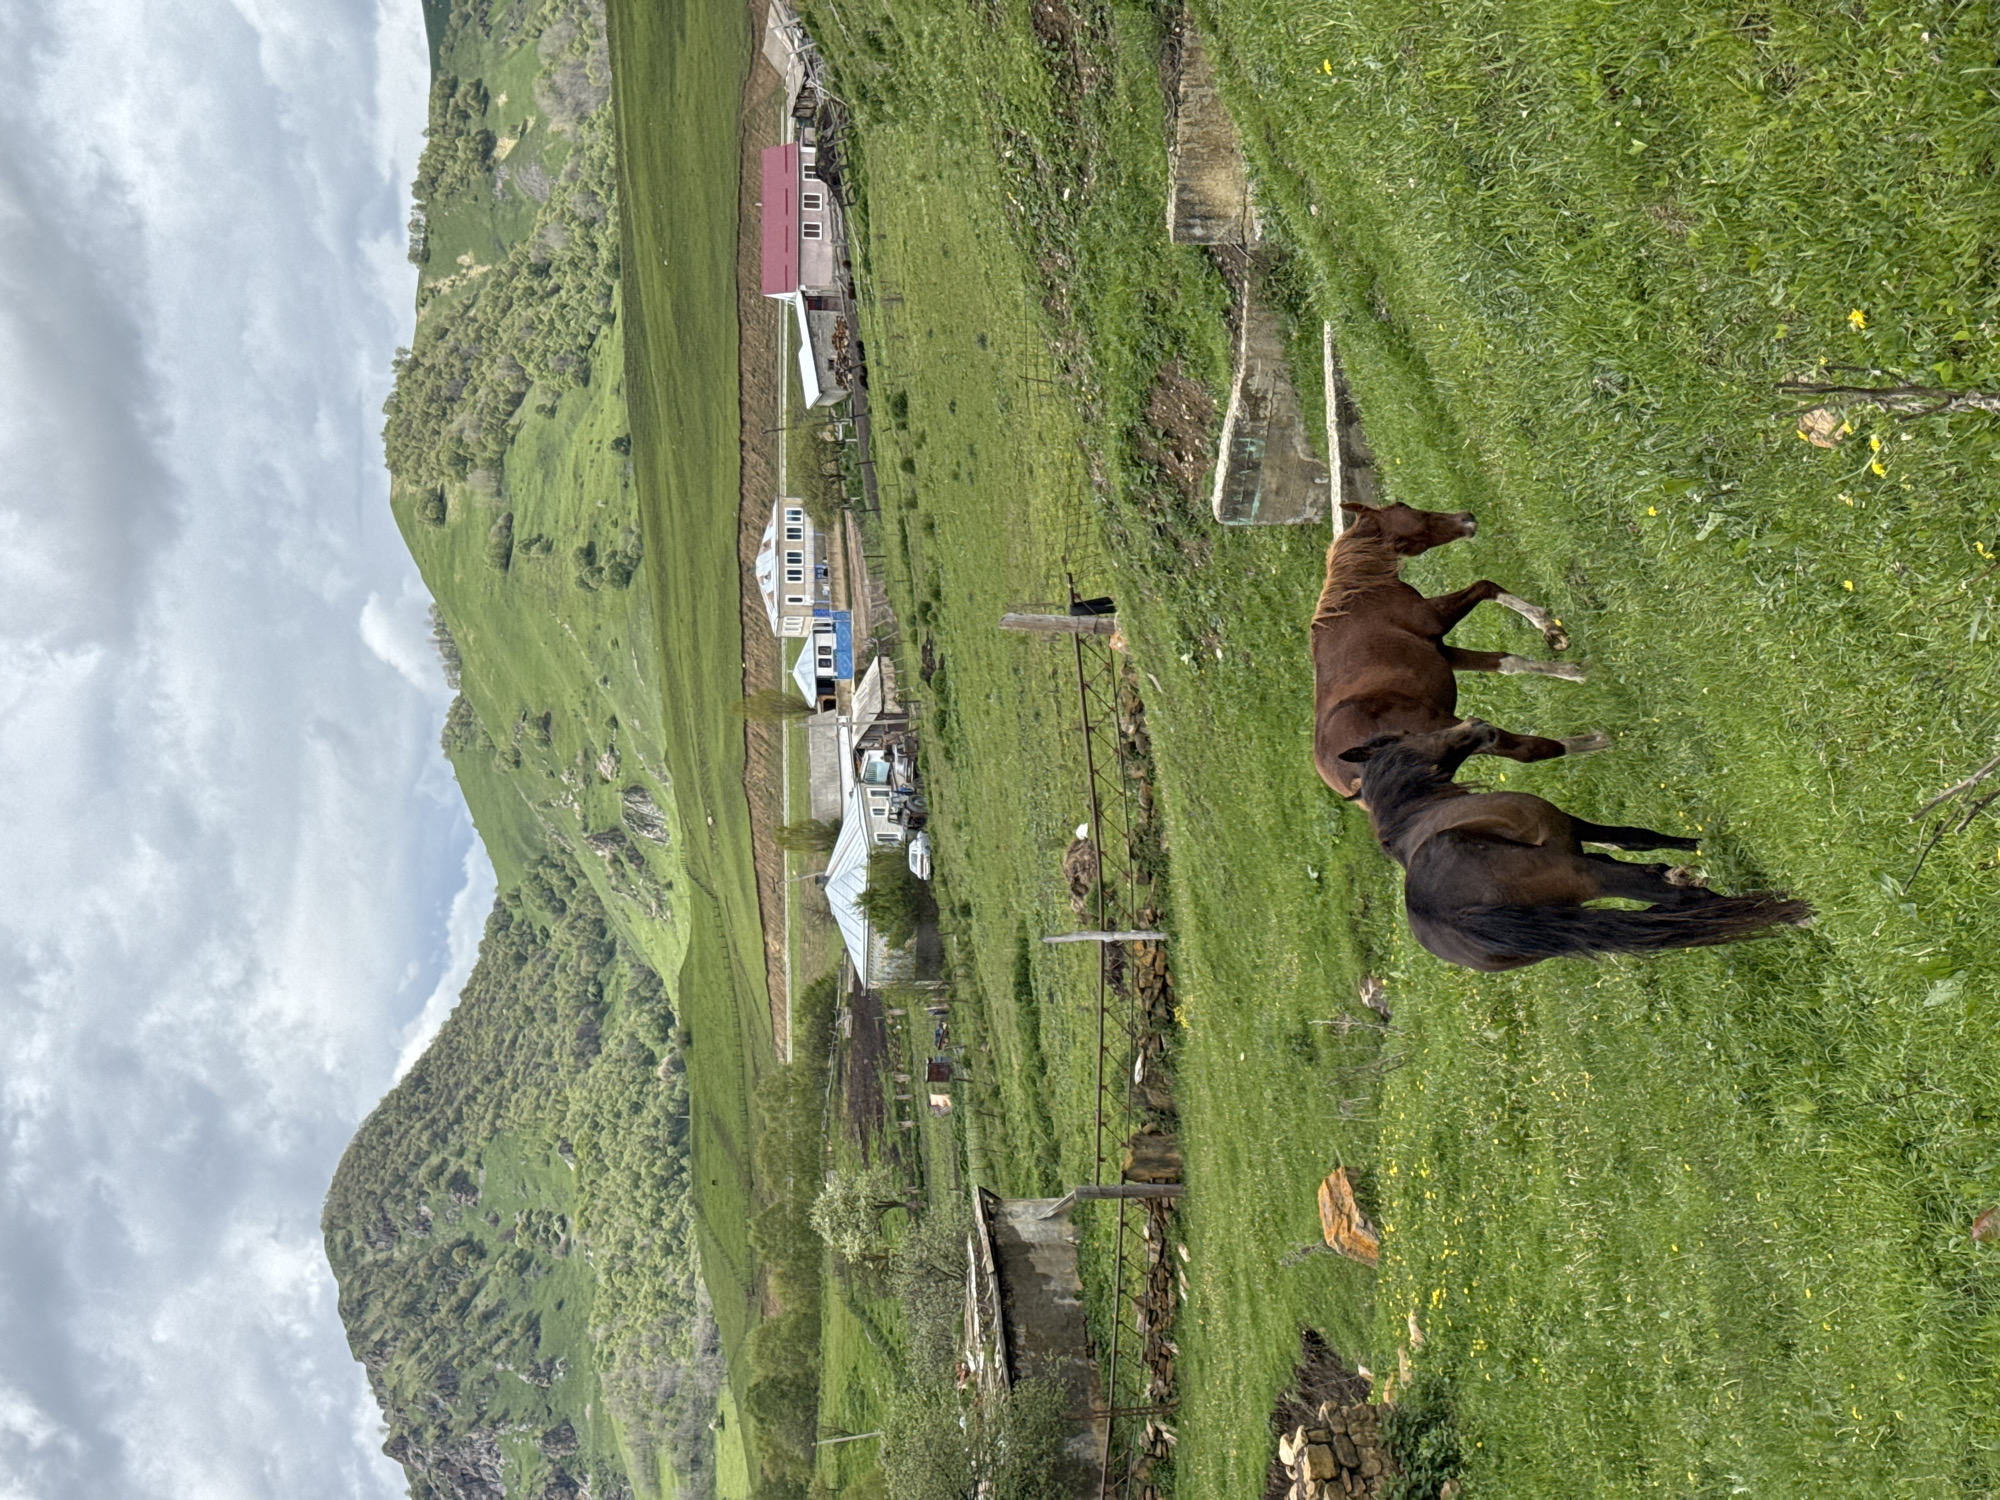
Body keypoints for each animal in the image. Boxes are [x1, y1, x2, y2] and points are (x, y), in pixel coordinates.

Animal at [1312, 501, 1599, 803]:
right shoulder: (1436, 618)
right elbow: (1486, 586)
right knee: (1524, 749)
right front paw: (1548, 626)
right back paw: (1595, 740)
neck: (1361, 594)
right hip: (1457, 729)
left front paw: (1571, 668)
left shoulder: (1443, 650)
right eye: (1403, 506)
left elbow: (1507, 662)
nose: (1466, 518)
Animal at [1338, 719, 1813, 972]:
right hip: (1588, 877)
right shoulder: (1568, 827)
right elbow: (1637, 839)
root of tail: (1448, 912)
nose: (1478, 726)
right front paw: (1694, 844)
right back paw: (1789, 913)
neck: (1417, 812)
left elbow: (1631, 843)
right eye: (1406, 734)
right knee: (1671, 897)